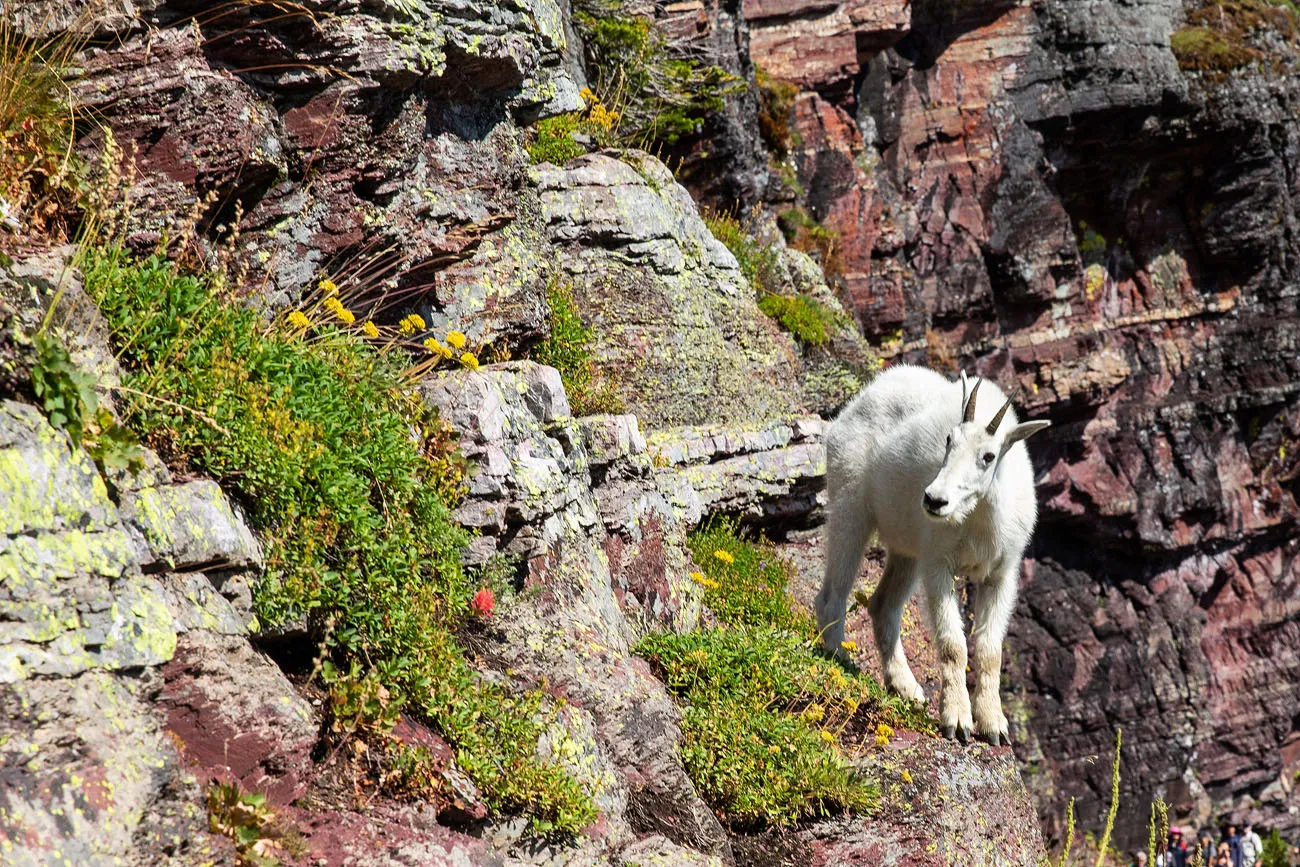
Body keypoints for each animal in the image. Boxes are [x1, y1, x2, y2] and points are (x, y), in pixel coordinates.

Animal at [816, 366, 1050, 748]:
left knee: (883, 604)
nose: (934, 500)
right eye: (949, 440)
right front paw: (957, 721)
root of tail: (860, 400)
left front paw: (994, 725)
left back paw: (906, 688)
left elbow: (990, 650)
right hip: (850, 505)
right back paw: (839, 660)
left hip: (907, 548)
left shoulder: (1001, 574)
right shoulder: (939, 563)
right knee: (831, 594)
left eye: (988, 456)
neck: (977, 518)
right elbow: (954, 644)